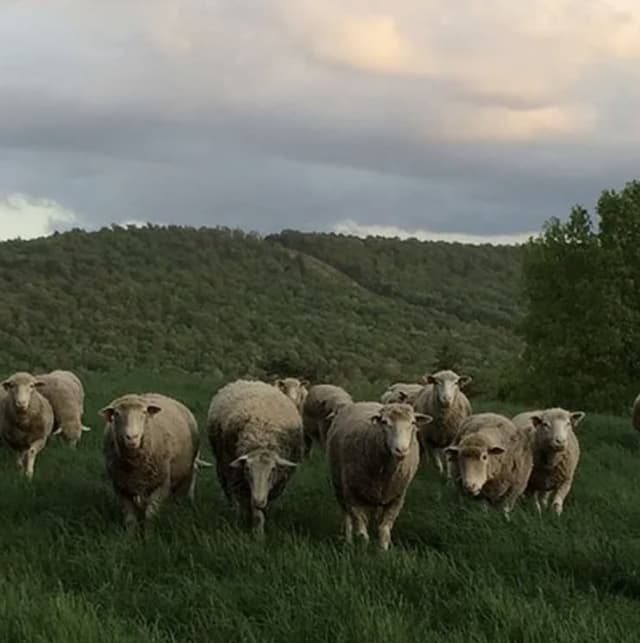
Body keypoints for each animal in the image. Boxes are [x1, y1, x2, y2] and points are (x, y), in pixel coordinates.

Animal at [101, 393, 201, 534]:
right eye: (116, 413)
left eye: (144, 412)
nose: (132, 437)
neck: (135, 466)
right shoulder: (121, 487)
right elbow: (130, 519)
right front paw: (130, 536)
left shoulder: (161, 484)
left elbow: (150, 515)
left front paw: (148, 536)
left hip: (186, 475)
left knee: (179, 497)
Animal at [207, 379, 303, 538]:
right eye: (247, 469)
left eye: (273, 470)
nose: (258, 501)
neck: (262, 437)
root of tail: (250, 381)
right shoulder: (238, 477)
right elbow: (249, 507)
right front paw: (255, 532)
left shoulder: (277, 483)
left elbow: (264, 507)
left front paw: (259, 530)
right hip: (222, 463)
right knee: (227, 488)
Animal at [326, 402, 432, 550]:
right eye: (384, 422)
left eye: (412, 422)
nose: (401, 450)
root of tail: (364, 402)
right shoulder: (353, 495)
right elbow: (361, 533)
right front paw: (363, 551)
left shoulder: (396, 498)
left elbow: (384, 531)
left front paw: (382, 551)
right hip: (339, 484)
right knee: (347, 516)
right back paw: (348, 541)